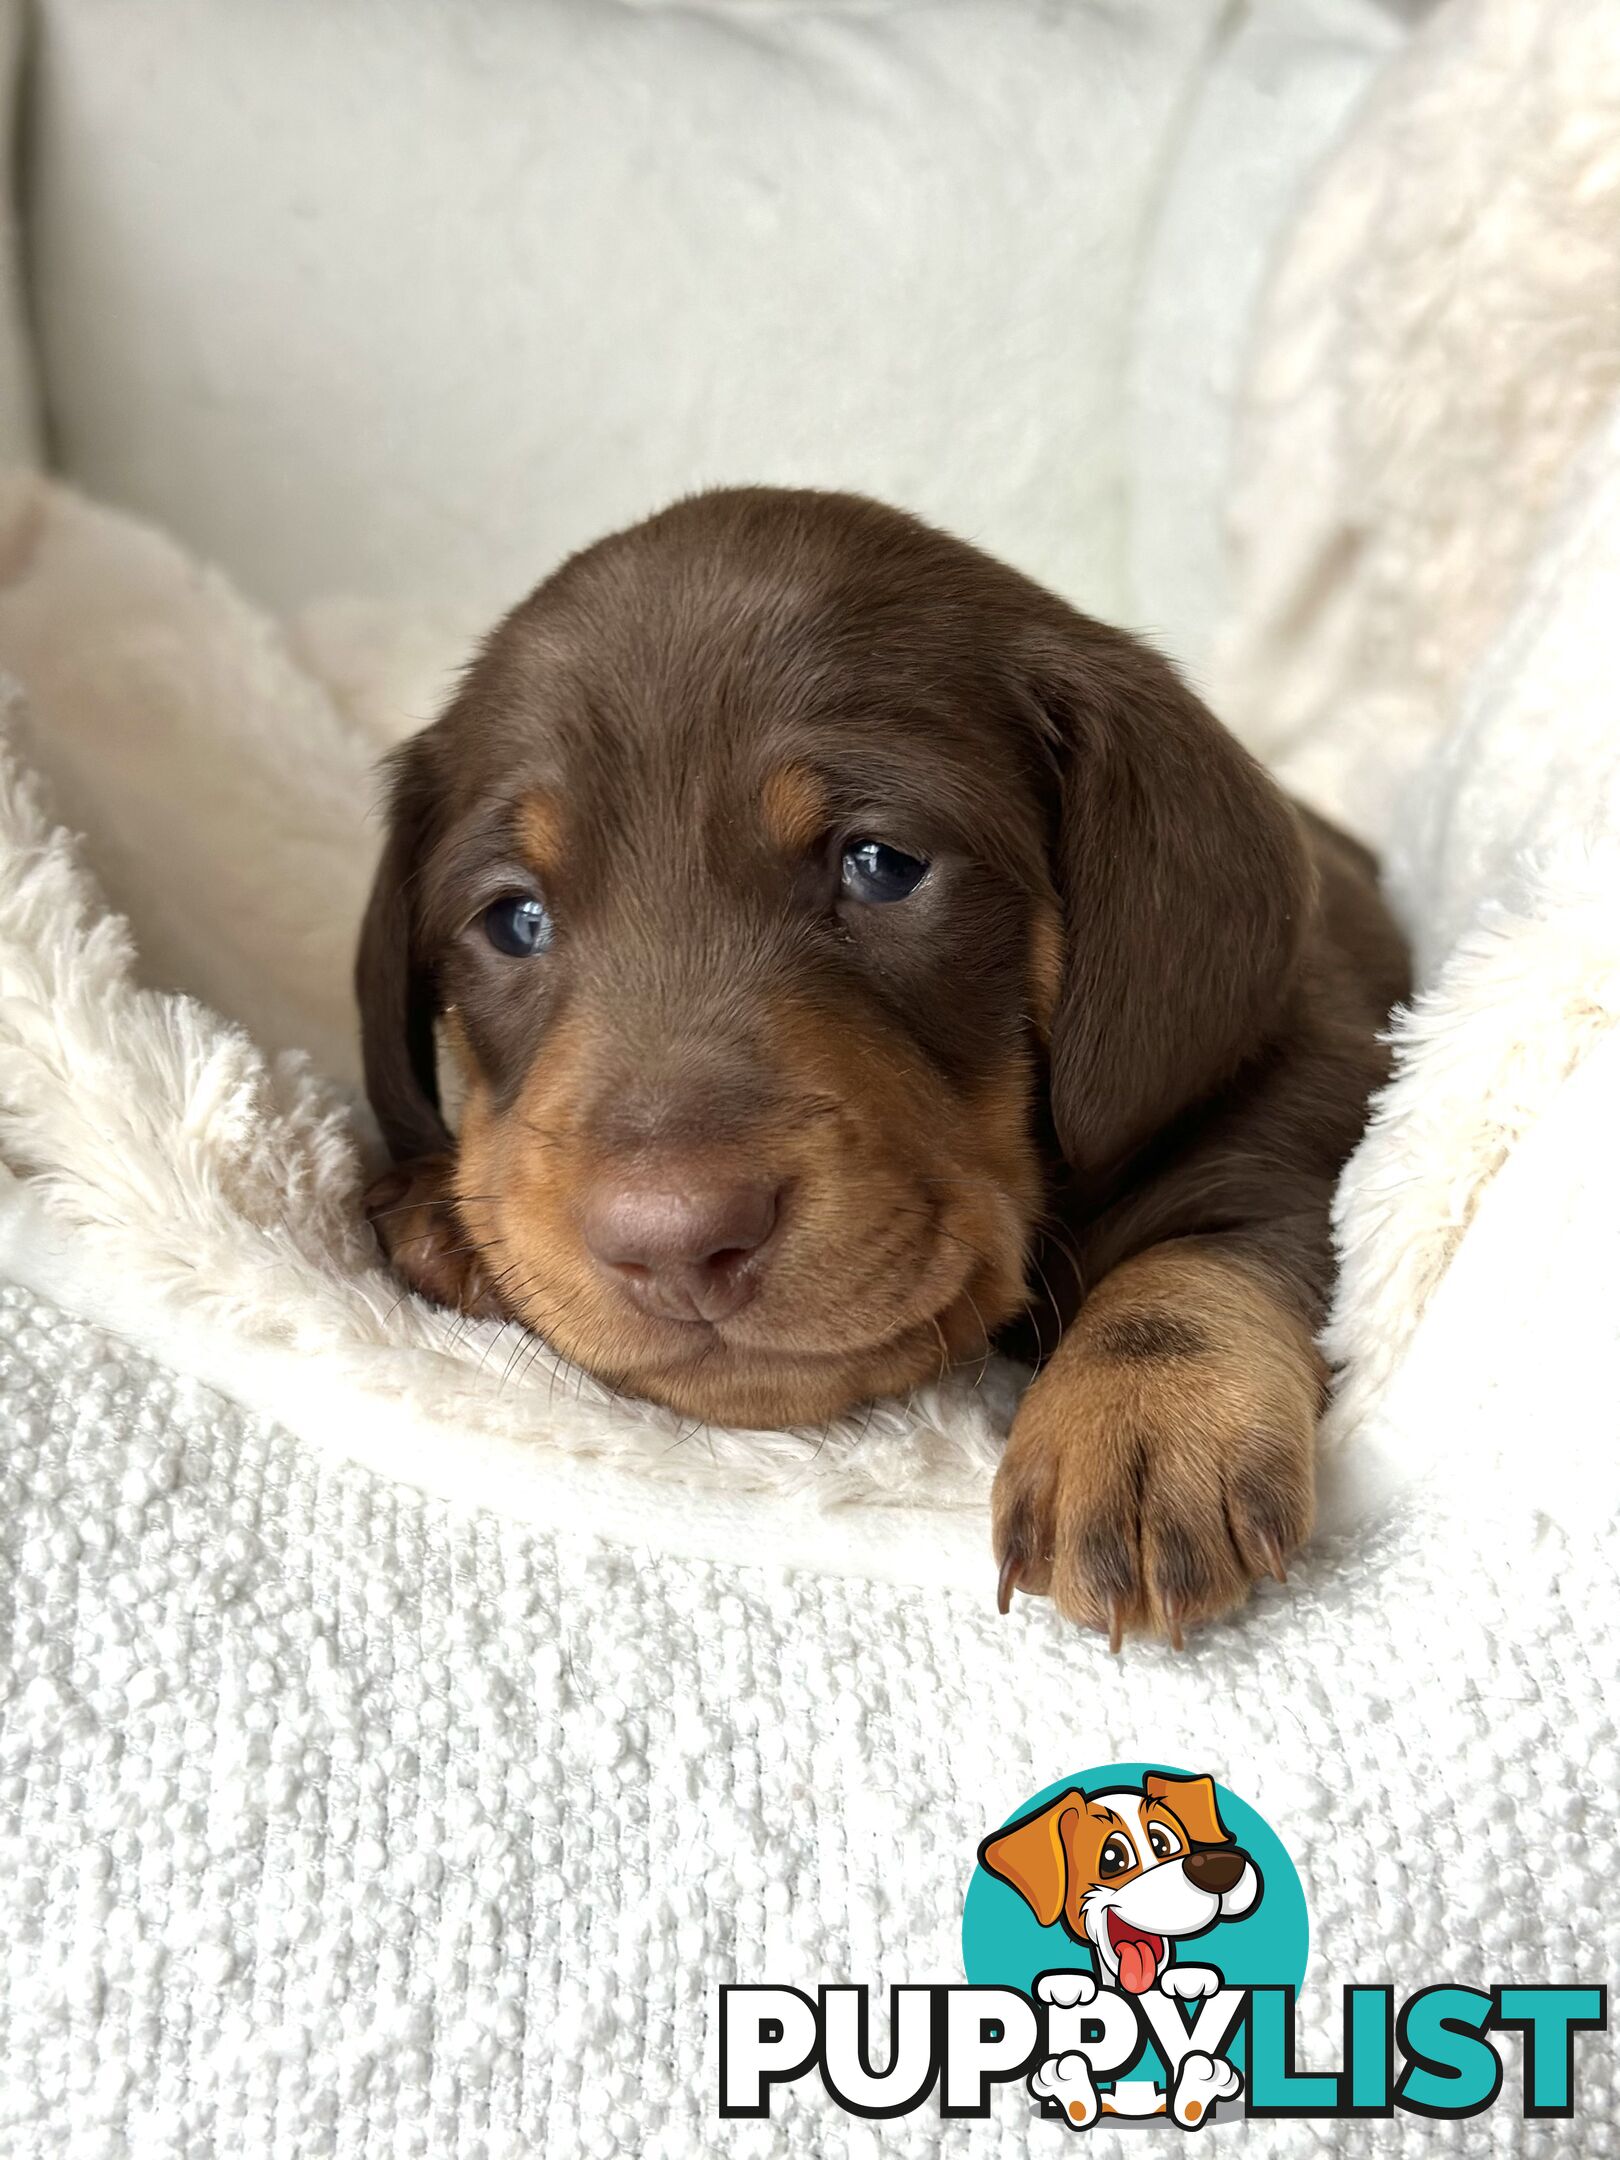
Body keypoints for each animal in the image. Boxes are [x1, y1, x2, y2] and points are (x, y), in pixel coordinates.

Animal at [358, 486, 1408, 1632]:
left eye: (882, 864)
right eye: (513, 921)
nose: (676, 1244)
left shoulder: (1322, 1071)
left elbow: (1223, 1226)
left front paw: (1147, 1409)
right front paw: (444, 1212)